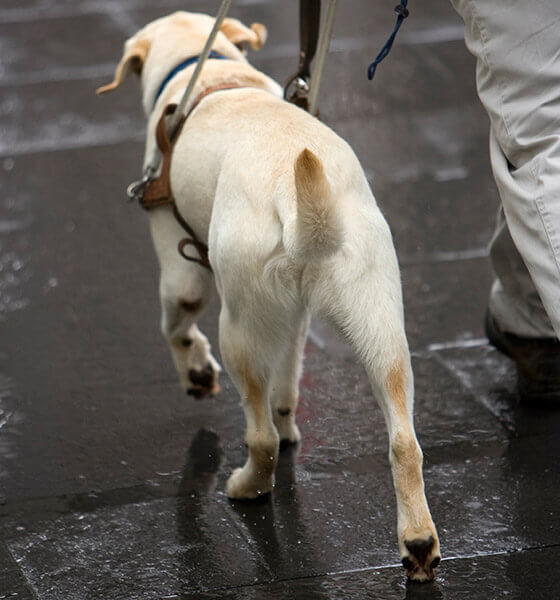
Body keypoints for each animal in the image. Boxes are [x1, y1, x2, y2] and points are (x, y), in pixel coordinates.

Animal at [97, 11, 441, 581]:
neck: (211, 73)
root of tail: (291, 192)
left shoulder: (178, 266)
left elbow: (175, 325)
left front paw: (195, 371)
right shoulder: (295, 316)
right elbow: (289, 377)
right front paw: (290, 420)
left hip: (238, 325)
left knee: (259, 437)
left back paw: (248, 486)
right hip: (381, 328)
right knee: (403, 441)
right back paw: (417, 541)